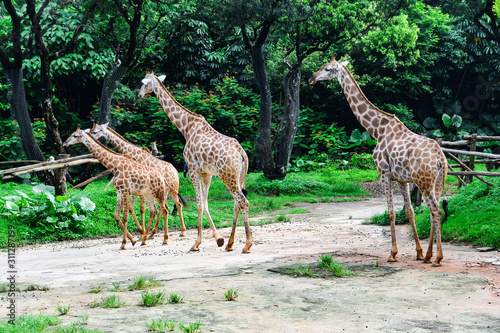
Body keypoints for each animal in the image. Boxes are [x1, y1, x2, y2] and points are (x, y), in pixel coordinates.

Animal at [138, 72, 252, 252]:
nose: (139, 94)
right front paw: (218, 239)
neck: (186, 127)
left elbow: (199, 205)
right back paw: (230, 244)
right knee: (237, 203)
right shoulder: (207, 173)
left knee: (243, 201)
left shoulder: (192, 169)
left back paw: (247, 245)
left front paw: (196, 243)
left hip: (227, 175)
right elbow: (205, 203)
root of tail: (242, 154)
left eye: (144, 84)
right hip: (239, 176)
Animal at [308, 55, 450, 268]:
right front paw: (418, 252)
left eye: (327, 68)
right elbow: (409, 211)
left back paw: (438, 258)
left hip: (423, 181)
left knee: (436, 210)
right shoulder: (402, 179)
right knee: (434, 210)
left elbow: (391, 212)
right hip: (438, 181)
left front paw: (392, 253)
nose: (311, 78)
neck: (376, 130)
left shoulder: (382, 173)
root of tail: (440, 158)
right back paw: (428, 256)